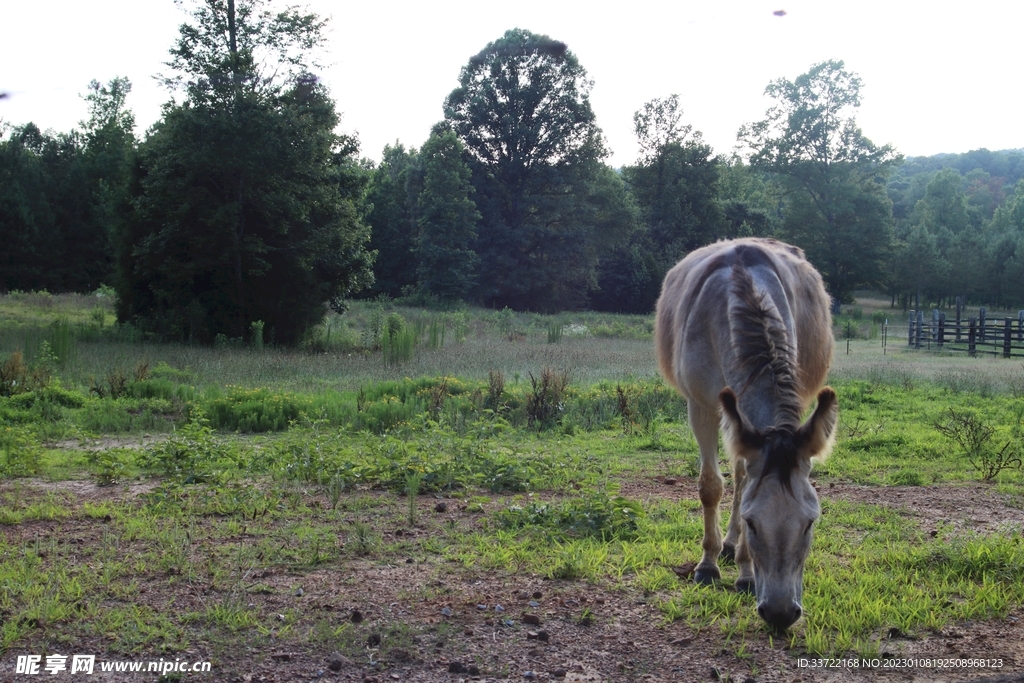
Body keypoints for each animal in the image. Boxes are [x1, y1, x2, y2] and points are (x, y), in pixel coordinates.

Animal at [654, 238, 838, 631]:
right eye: (753, 524)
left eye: (810, 523)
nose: (781, 614)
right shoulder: (701, 408)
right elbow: (710, 486)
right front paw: (707, 566)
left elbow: (740, 484)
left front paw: (744, 571)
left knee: (741, 476)